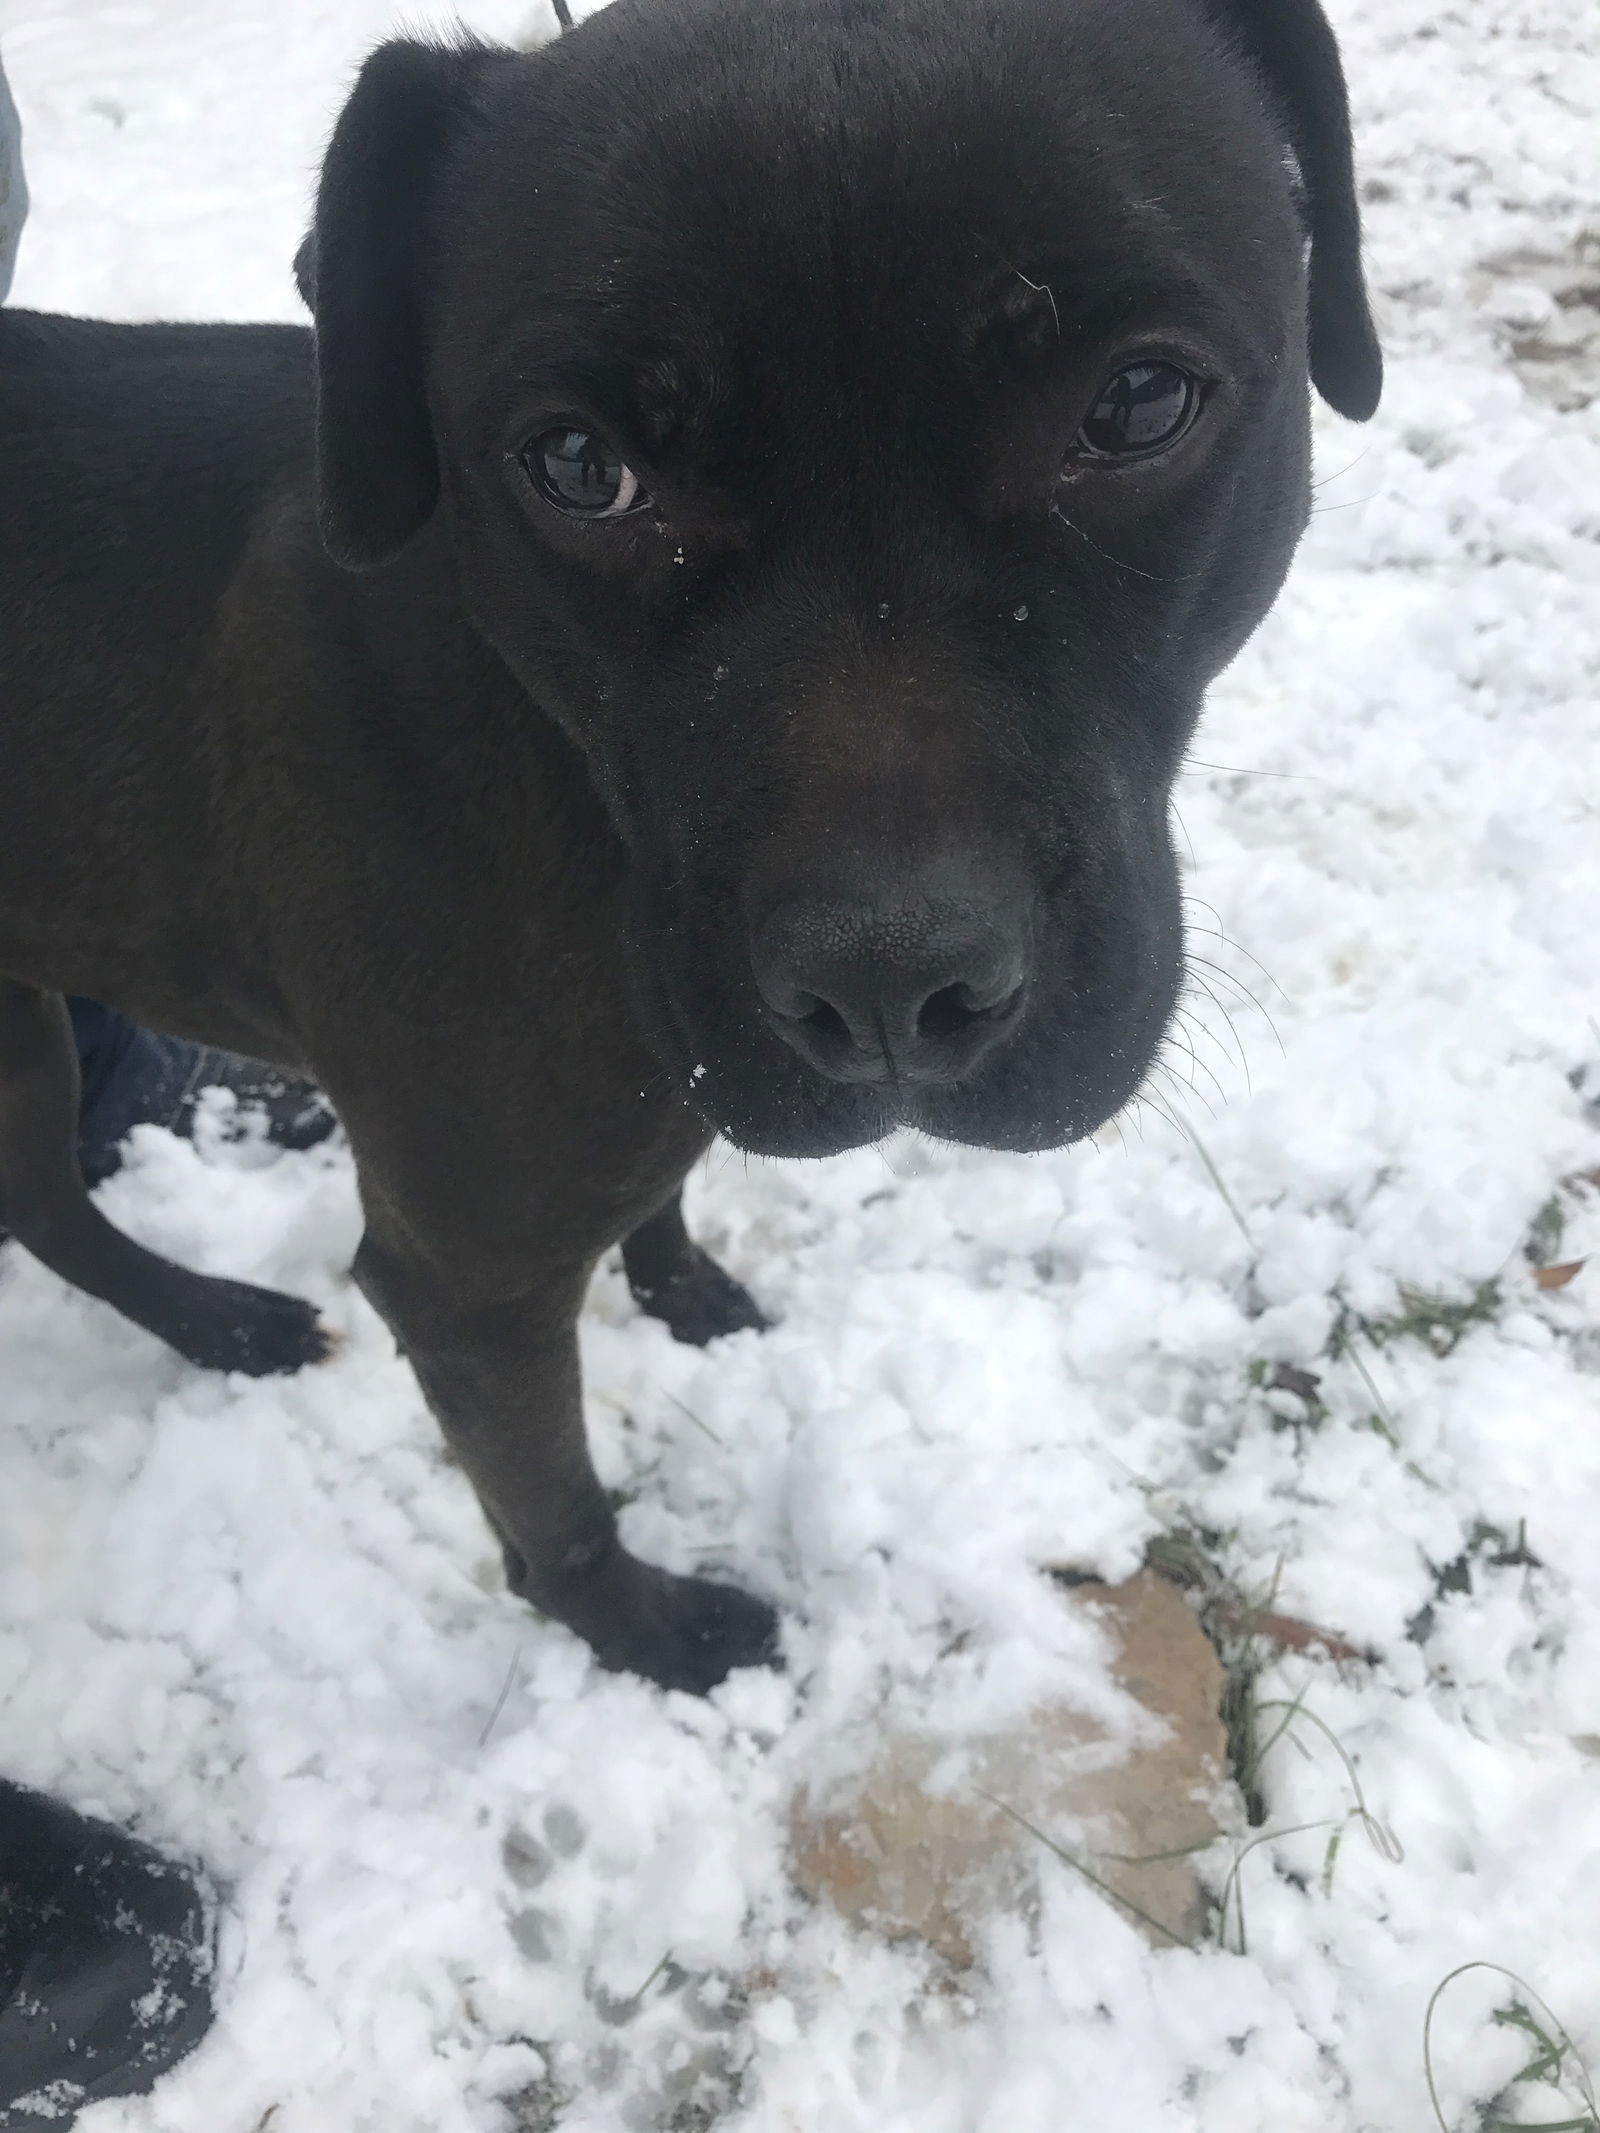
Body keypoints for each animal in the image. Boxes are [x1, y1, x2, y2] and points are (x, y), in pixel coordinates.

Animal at [0, 0, 1382, 1689]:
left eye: (1136, 404)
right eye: (578, 464)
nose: (889, 984)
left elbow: (668, 1183)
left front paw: (686, 1285)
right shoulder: (469, 1275)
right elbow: (550, 1500)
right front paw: (646, 1633)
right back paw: (226, 1322)